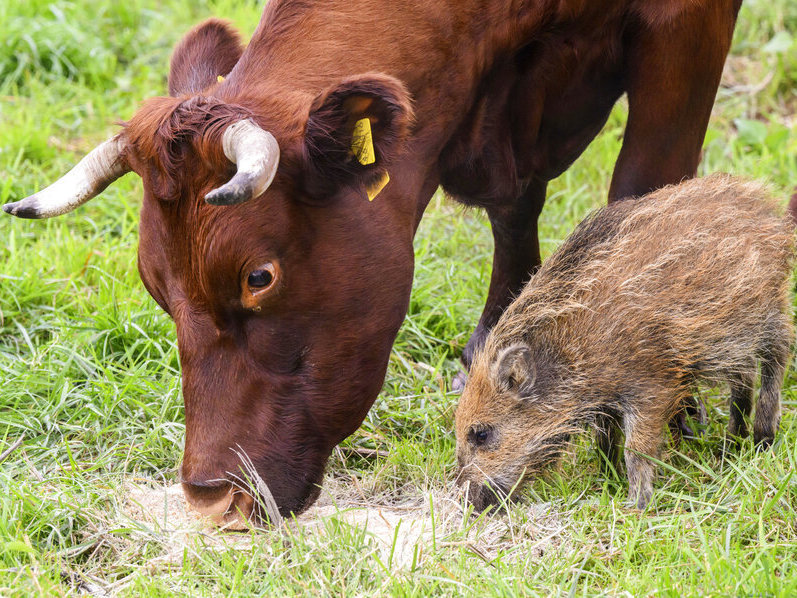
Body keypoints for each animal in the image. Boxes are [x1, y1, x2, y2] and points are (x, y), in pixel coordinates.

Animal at [3, 0, 742, 524]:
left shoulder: (683, 30)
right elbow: (514, 211)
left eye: (258, 276)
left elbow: (645, 192)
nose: (212, 499)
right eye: (156, 286)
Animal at [455, 174, 795, 511]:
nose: (469, 503)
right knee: (744, 379)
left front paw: (635, 505)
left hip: (769, 313)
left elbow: (636, 449)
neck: (572, 350)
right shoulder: (606, 401)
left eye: (481, 434)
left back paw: (762, 440)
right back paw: (732, 446)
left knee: (778, 358)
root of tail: (771, 216)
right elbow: (605, 442)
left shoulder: (653, 386)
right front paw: (607, 482)